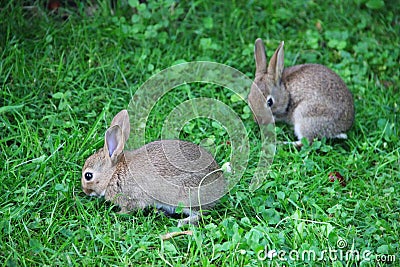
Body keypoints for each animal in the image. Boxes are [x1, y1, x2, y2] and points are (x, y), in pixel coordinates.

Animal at [81, 110, 227, 226]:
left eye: (88, 176)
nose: (85, 191)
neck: (113, 174)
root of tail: (220, 186)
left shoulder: (133, 198)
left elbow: (129, 209)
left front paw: (116, 214)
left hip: (186, 197)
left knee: (200, 214)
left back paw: (181, 222)